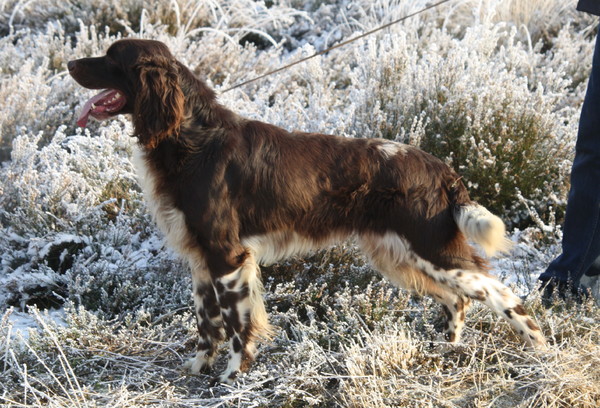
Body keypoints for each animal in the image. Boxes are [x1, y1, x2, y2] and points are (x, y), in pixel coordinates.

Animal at [68, 37, 548, 382]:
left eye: (111, 57)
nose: (70, 65)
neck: (191, 136)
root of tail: (442, 169)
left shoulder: (227, 256)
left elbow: (237, 325)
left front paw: (231, 376)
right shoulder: (201, 259)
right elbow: (207, 324)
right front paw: (198, 368)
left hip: (432, 250)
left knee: (500, 293)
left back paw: (540, 349)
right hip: (399, 255)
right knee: (457, 299)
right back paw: (447, 348)